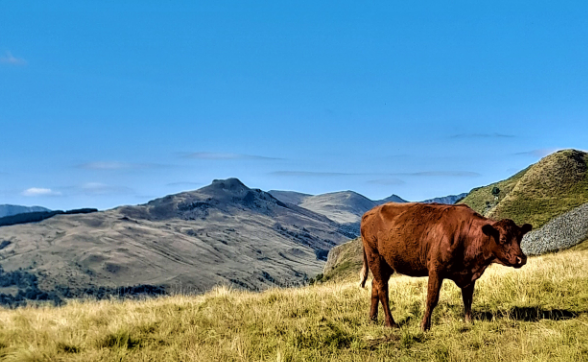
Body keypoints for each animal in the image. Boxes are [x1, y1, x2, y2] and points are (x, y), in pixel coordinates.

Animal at [358, 202, 532, 332]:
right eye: (503, 239)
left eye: (520, 237)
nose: (521, 258)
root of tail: (369, 213)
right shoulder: (436, 269)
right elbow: (432, 298)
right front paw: (424, 326)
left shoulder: (469, 275)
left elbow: (468, 299)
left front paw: (469, 321)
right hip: (375, 257)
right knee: (382, 288)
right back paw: (391, 323)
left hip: (387, 262)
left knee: (375, 285)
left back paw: (372, 319)